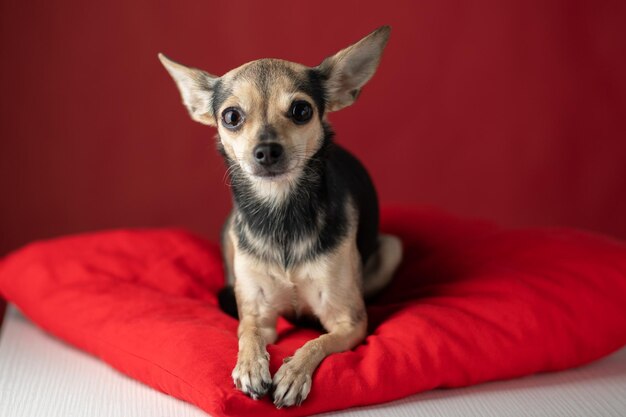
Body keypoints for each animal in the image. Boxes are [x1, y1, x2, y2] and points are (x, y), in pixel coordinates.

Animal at [156, 25, 400, 406]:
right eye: (231, 117)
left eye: (301, 111)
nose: (267, 150)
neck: (281, 211)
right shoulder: (259, 314)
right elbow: (247, 332)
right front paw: (250, 366)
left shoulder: (351, 322)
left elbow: (317, 342)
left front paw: (293, 373)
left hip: (392, 249)